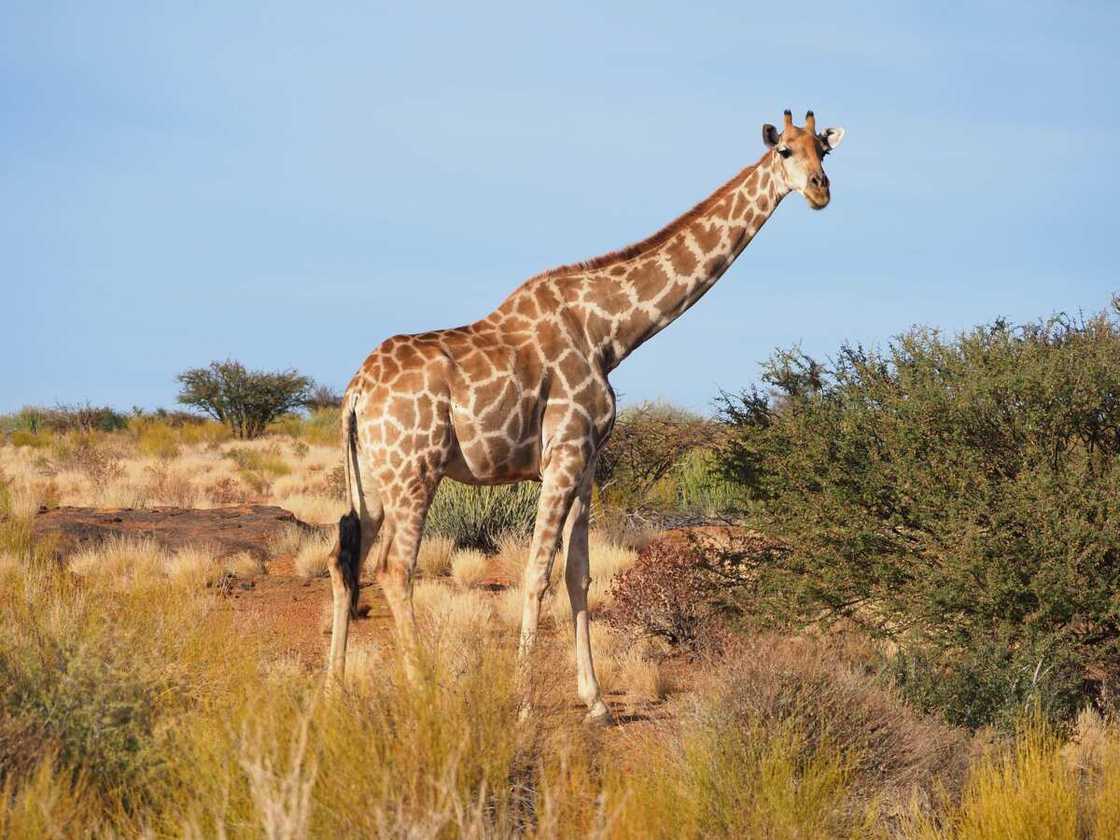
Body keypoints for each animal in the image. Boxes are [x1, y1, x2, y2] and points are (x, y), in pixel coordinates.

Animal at [327, 105, 842, 725]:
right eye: (785, 151)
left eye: (824, 150)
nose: (820, 189)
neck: (609, 333)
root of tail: (356, 391)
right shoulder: (564, 456)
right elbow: (535, 572)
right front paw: (525, 703)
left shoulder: (590, 463)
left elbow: (580, 574)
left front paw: (594, 700)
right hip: (415, 469)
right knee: (395, 568)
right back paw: (421, 690)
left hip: (371, 477)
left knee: (344, 559)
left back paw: (332, 687)